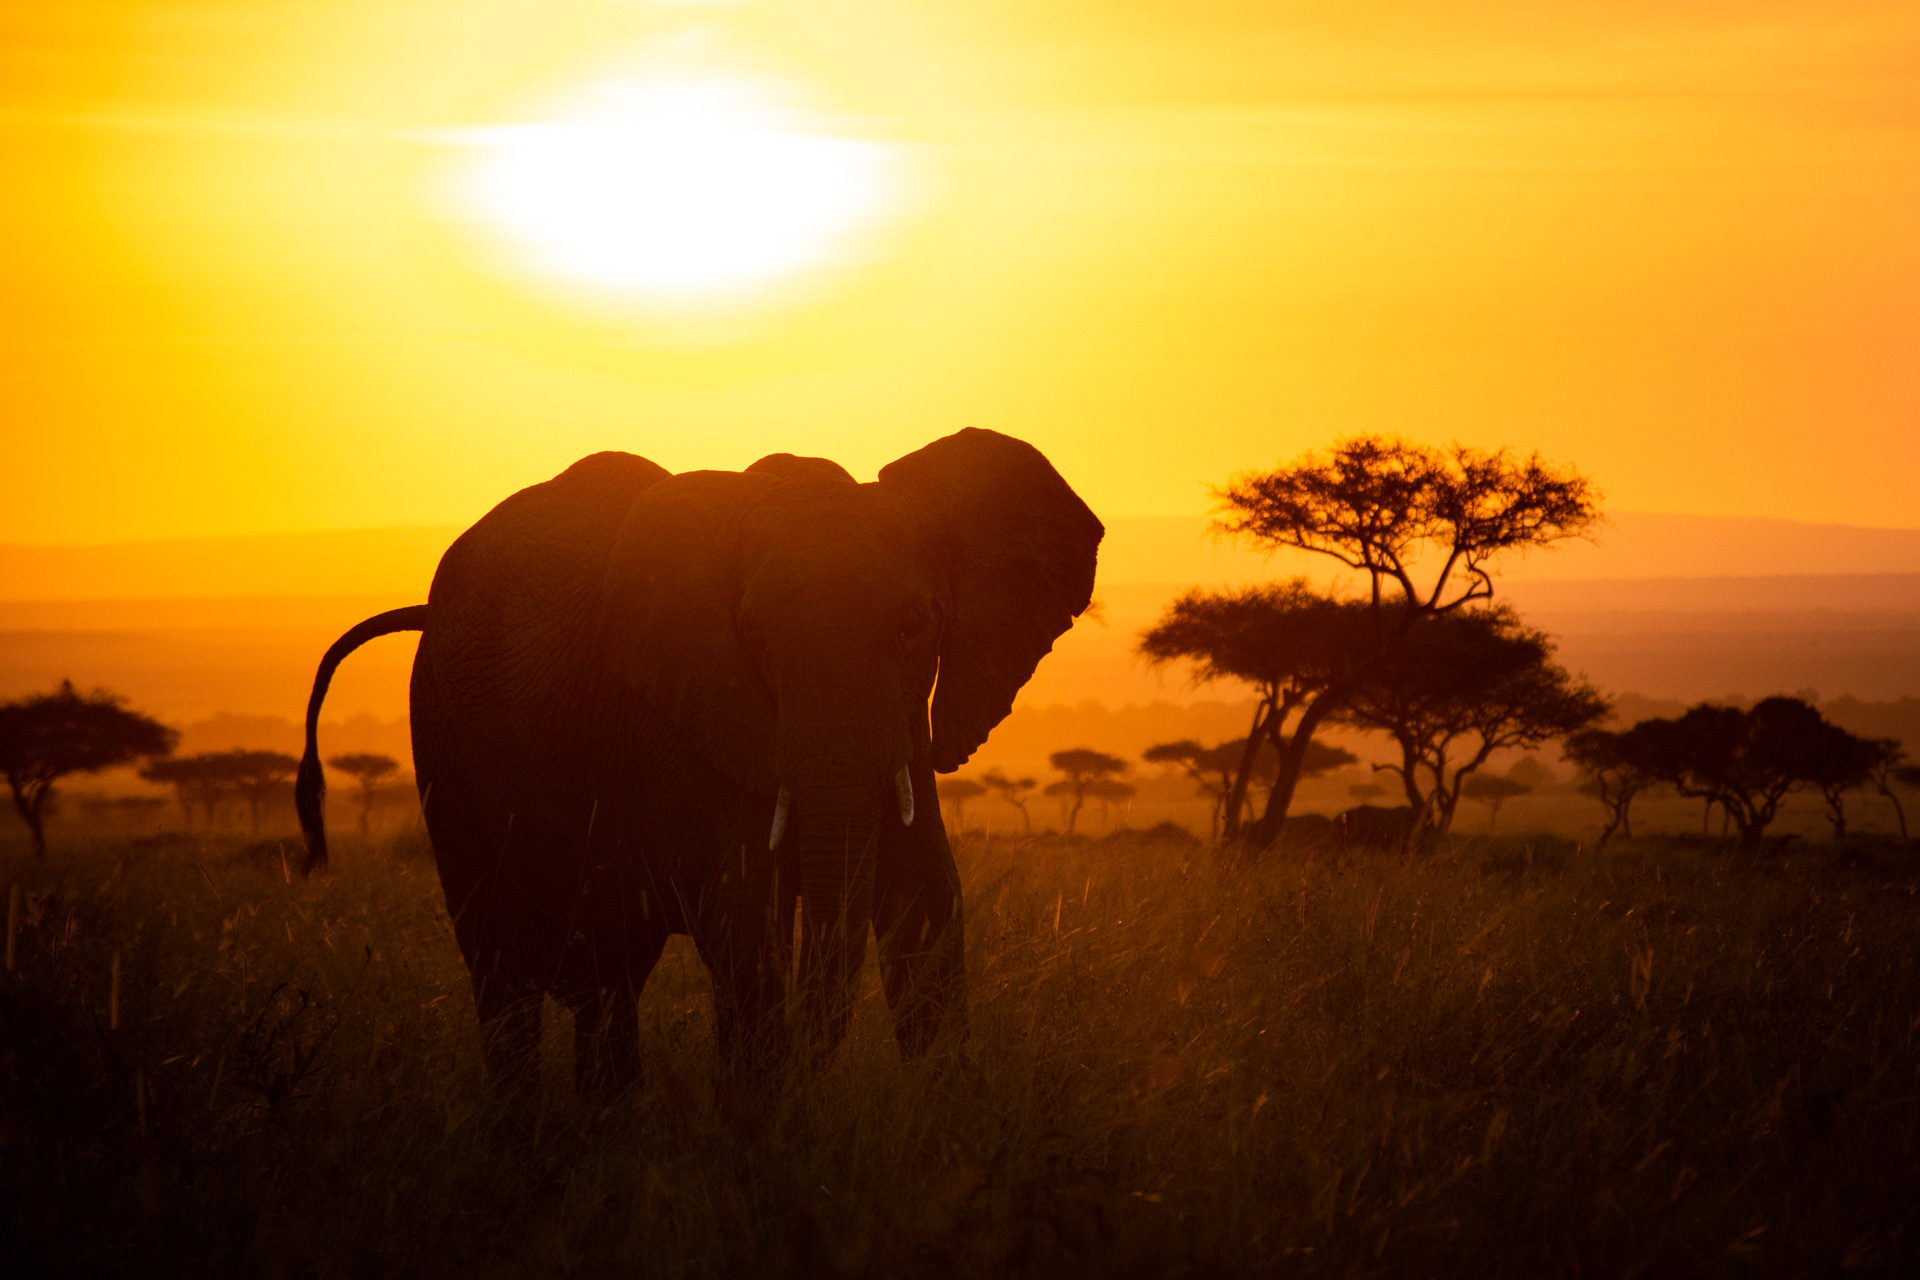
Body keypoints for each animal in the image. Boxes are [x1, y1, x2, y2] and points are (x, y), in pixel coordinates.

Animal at [295, 429, 1113, 1090]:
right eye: (755, 634)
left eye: (918, 625)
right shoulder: (676, 717)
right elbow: (744, 920)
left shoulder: (905, 721)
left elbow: (928, 905)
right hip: (439, 733)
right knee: (504, 972)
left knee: (607, 982)